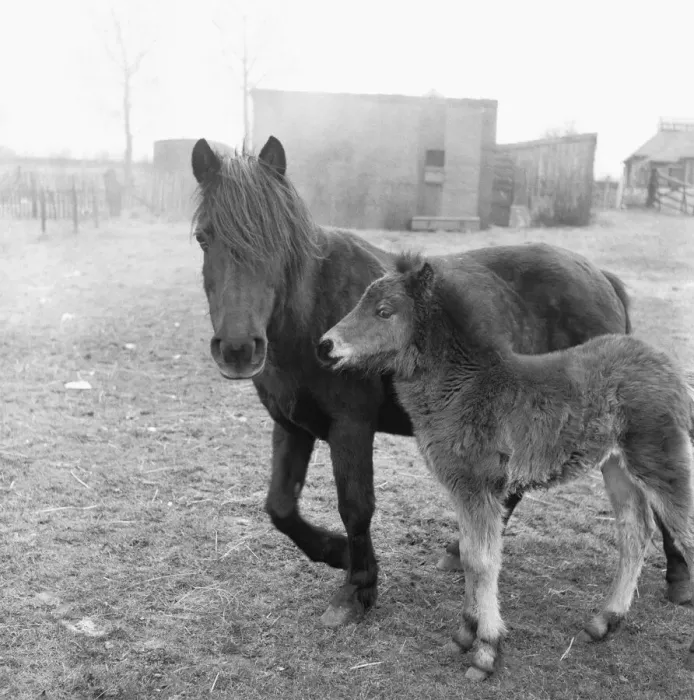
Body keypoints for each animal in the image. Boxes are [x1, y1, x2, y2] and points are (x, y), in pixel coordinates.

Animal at [189, 135, 690, 627]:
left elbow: (356, 505)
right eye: (202, 236)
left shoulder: (351, 427)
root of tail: (601, 278)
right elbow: (280, 507)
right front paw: (338, 555)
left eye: (277, 239)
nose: (238, 349)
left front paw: (357, 588)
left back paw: (679, 576)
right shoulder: (291, 425)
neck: (314, 316)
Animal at [318, 252, 694, 679]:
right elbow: (468, 555)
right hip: (616, 464)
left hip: (658, 459)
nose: (325, 345)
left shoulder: (479, 486)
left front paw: (486, 651)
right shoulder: (461, 487)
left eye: (384, 311)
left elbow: (483, 561)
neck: (465, 388)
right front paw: (465, 633)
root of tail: (669, 368)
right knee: (635, 531)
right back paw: (603, 622)